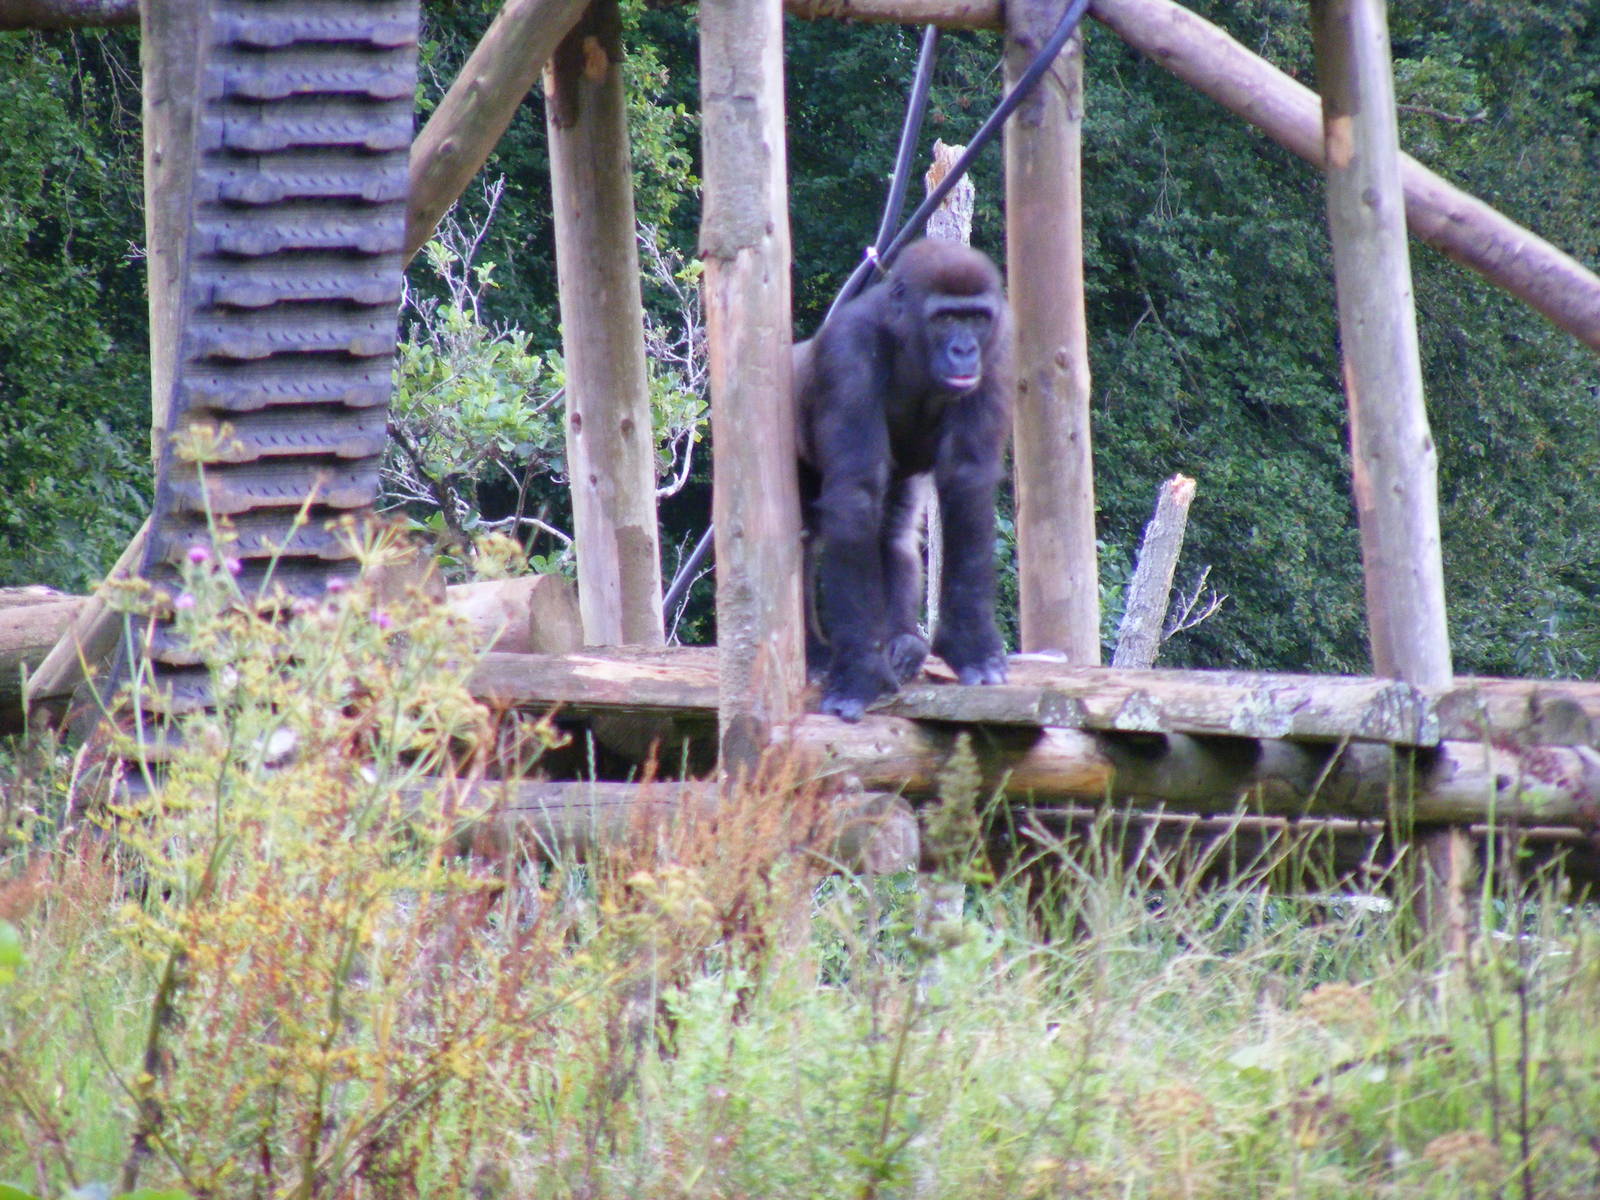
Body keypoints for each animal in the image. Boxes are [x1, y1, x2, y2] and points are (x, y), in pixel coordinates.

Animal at [795, 238, 1013, 722]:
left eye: (976, 318)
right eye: (945, 318)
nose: (964, 350)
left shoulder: (997, 350)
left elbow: (967, 481)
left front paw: (969, 645)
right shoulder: (848, 351)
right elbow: (855, 495)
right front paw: (859, 672)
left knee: (891, 531)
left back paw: (902, 642)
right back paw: (814, 653)